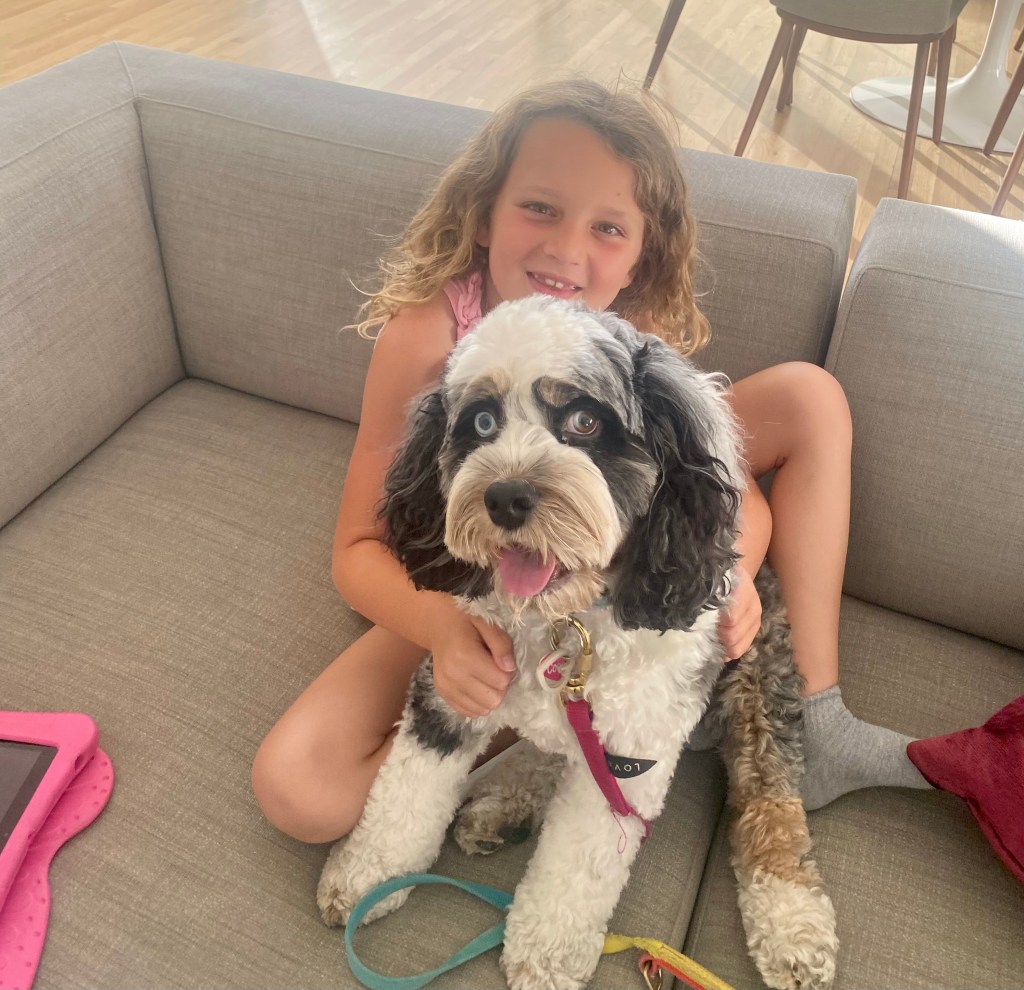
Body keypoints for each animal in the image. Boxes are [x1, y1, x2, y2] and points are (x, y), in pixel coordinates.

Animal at [317, 295, 838, 990]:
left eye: (585, 421)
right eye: (482, 421)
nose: (506, 495)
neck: (569, 622)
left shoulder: (631, 760)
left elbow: (576, 870)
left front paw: (545, 953)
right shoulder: (449, 692)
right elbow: (403, 796)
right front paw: (365, 877)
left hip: (757, 687)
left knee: (771, 802)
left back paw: (793, 926)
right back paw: (503, 804)